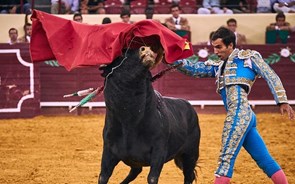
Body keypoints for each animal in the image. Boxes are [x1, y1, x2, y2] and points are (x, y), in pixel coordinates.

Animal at [99, 47, 201, 184]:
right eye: (121, 55)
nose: (146, 48)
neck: (129, 121)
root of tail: (189, 106)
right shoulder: (108, 150)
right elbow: (103, 177)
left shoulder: (159, 151)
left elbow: (152, 178)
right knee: (135, 171)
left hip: (190, 154)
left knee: (188, 175)